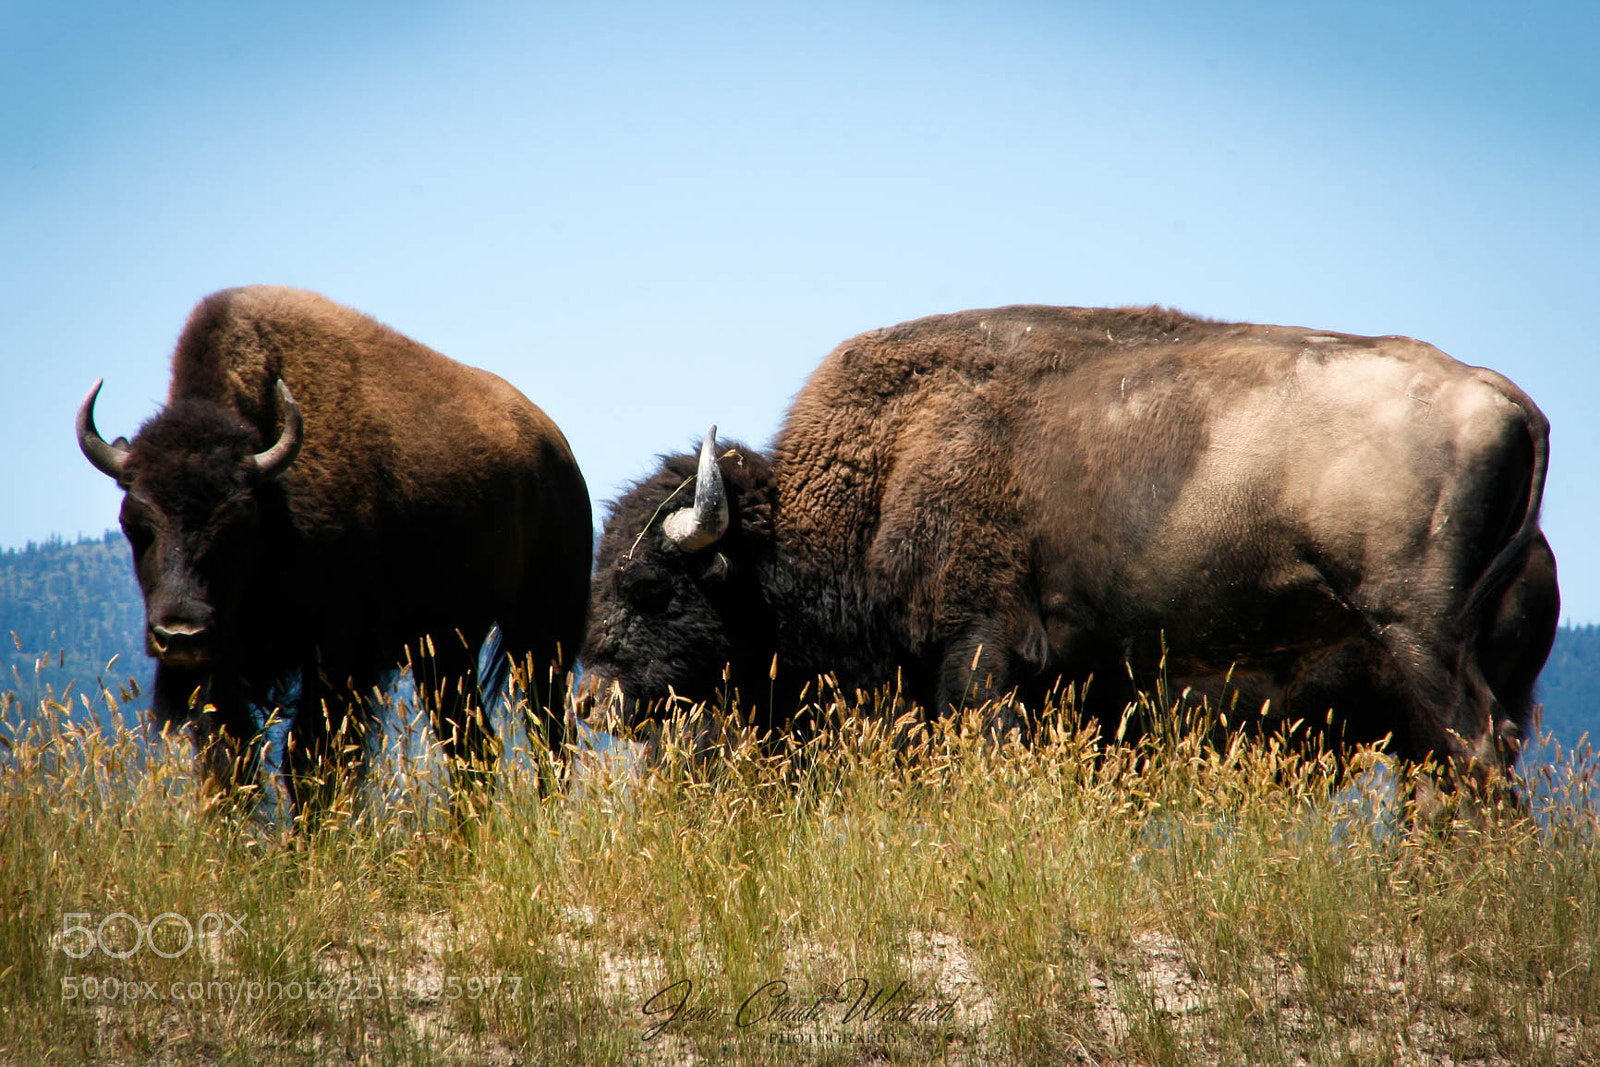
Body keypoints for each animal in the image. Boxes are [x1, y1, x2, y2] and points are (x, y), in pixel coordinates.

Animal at [78, 286, 592, 811]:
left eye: (238, 523)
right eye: (134, 524)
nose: (181, 634)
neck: (274, 494)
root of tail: (557, 450)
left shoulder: (339, 653)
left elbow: (307, 755)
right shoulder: (223, 671)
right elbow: (230, 762)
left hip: (539, 633)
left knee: (548, 730)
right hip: (445, 647)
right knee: (472, 741)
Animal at [583, 305, 1557, 786]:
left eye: (653, 587)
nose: (591, 697)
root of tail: (1510, 403)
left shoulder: (981, 658)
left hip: (1420, 644)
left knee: (1474, 755)